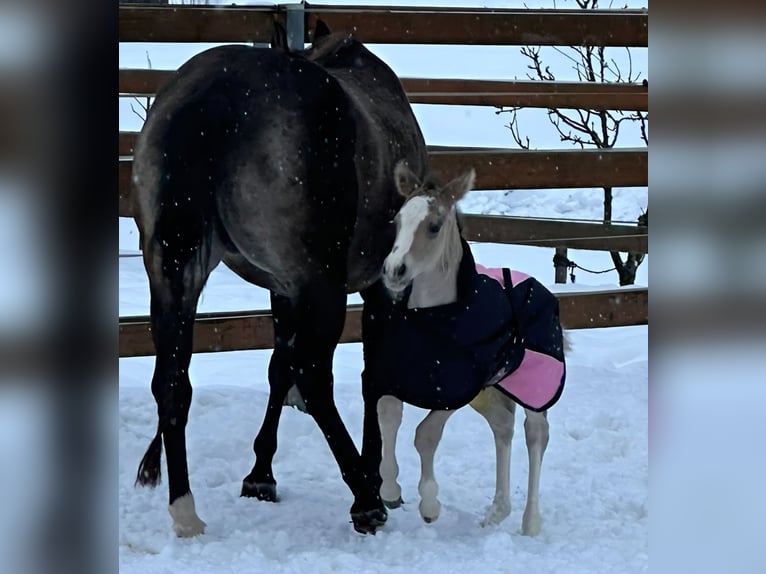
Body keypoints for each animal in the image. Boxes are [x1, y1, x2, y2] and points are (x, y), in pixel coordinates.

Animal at [130, 20, 429, 537]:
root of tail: (215, 94)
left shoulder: (282, 287)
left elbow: (276, 368)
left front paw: (260, 475)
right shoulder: (375, 289)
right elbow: (371, 378)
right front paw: (378, 480)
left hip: (173, 272)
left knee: (172, 380)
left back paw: (186, 512)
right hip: (321, 285)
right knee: (315, 377)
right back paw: (365, 500)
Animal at [359, 161, 568, 535]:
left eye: (433, 226)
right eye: (397, 221)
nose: (394, 271)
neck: (435, 319)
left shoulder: (460, 385)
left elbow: (425, 434)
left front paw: (430, 506)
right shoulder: (398, 376)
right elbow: (388, 414)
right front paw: (390, 489)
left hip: (535, 384)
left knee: (536, 434)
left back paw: (530, 522)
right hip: (490, 392)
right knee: (502, 425)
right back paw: (497, 512)